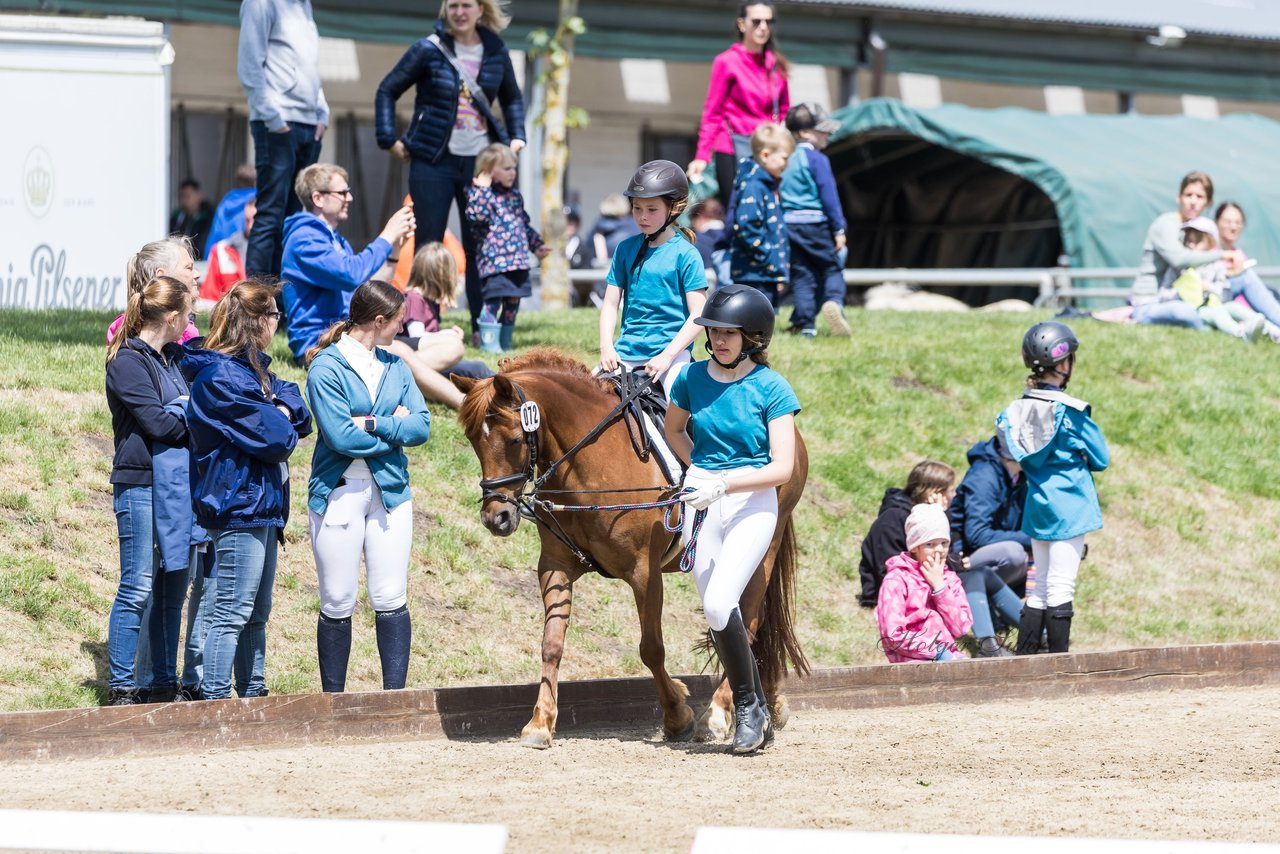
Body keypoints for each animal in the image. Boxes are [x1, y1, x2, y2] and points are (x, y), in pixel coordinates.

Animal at [455, 348, 803, 747]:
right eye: (472, 440)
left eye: (514, 439)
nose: (495, 518)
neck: (589, 464)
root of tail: (792, 431)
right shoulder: (555, 565)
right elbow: (551, 644)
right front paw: (539, 723)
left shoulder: (644, 572)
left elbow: (651, 647)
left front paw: (677, 715)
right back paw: (769, 706)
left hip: (762, 550)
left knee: (747, 622)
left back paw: (716, 714)